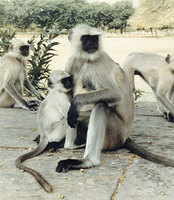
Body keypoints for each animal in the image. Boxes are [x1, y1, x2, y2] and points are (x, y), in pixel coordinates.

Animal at [55, 24, 174, 173]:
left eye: (94, 38)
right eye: (86, 38)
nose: (92, 44)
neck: (85, 59)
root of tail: (126, 136)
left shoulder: (97, 63)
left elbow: (114, 94)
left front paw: (76, 103)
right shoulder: (73, 61)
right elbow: (68, 95)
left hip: (116, 133)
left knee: (100, 105)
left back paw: (87, 161)